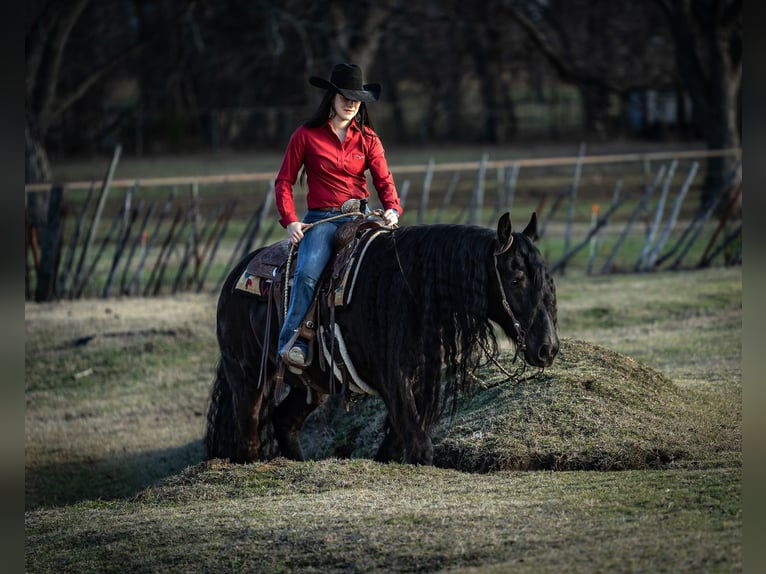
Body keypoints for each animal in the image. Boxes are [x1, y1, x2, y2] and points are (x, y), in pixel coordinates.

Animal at [207, 214, 560, 466]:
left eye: (547, 278)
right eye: (515, 279)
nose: (548, 348)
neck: (409, 289)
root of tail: (235, 276)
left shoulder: (412, 382)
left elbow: (394, 446)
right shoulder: (393, 380)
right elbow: (419, 447)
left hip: (311, 385)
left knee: (284, 422)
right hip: (248, 377)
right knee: (249, 436)